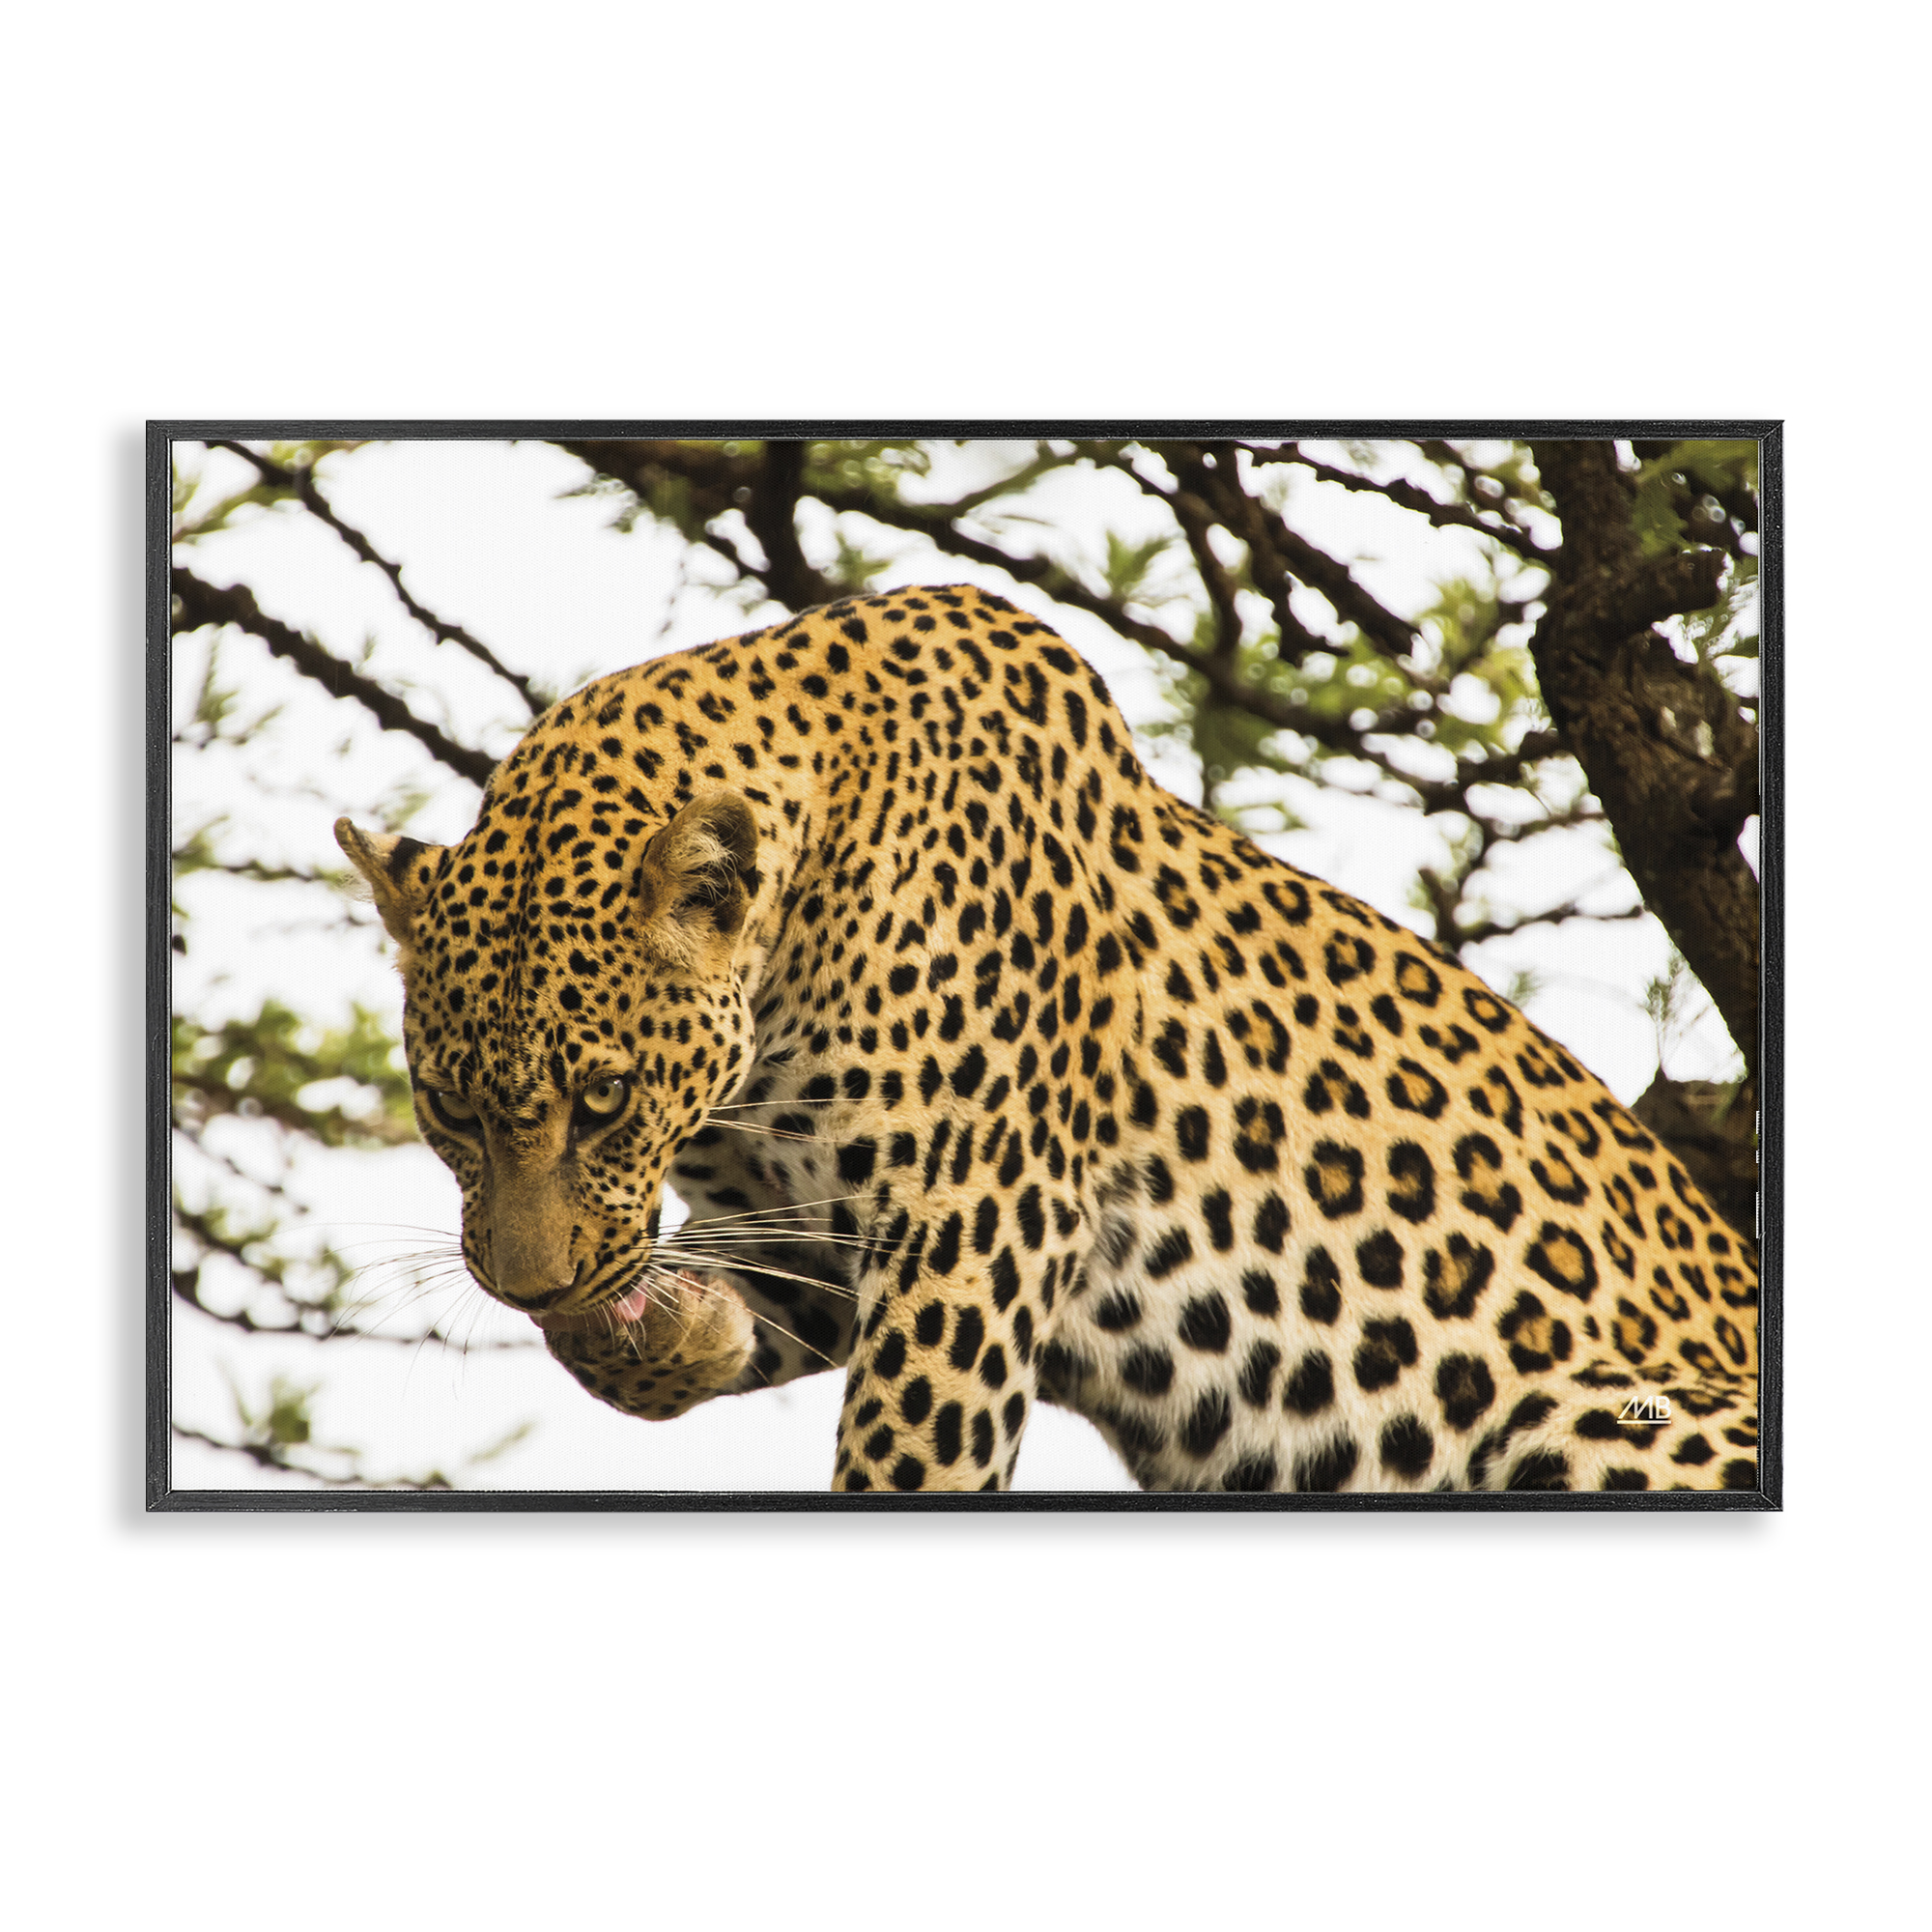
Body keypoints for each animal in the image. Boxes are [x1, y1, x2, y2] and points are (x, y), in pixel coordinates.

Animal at [337, 584, 1759, 1494]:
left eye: (605, 1100)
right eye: (448, 1110)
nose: (527, 1288)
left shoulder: (970, 1222)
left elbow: (910, 1462)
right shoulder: (808, 1233)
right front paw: (662, 1328)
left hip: (1590, 1412)